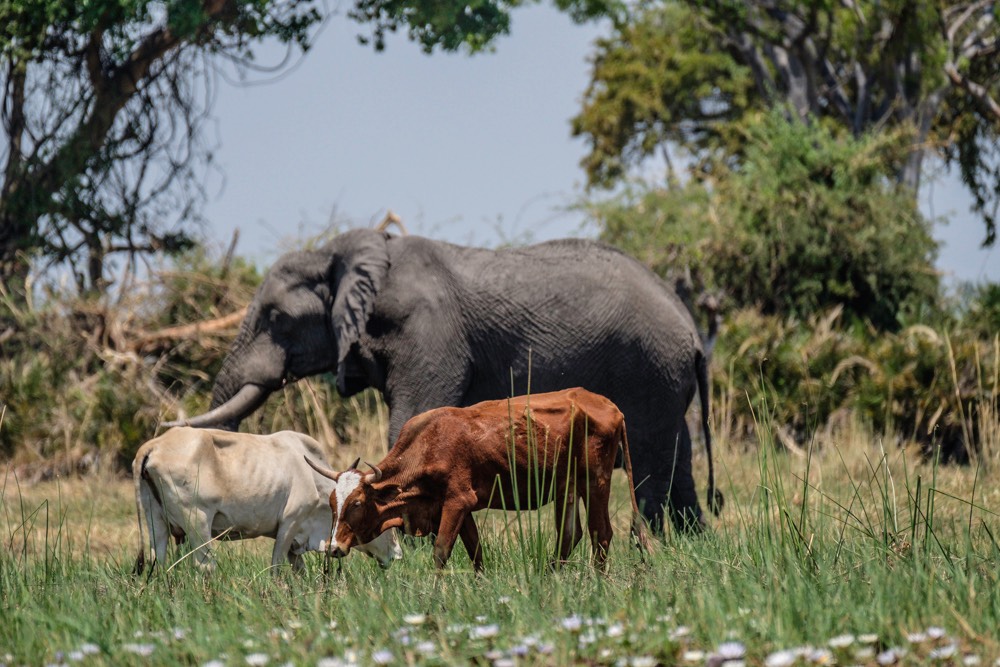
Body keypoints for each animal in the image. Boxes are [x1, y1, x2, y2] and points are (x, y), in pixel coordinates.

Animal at [133, 428, 402, 576]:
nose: (397, 554)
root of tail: (153, 446)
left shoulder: (296, 542)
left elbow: (299, 570)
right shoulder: (289, 524)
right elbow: (275, 567)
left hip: (155, 520)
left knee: (159, 560)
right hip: (197, 524)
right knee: (205, 566)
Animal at [166, 230, 728, 532]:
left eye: (276, 318)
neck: (344, 251)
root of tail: (691, 330)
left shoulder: (429, 334)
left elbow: (413, 422)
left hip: (648, 372)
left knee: (649, 465)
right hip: (664, 379)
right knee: (677, 457)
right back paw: (691, 542)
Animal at [308, 388, 652, 572]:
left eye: (357, 503)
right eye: (332, 503)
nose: (334, 547)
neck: (428, 443)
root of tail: (610, 406)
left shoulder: (458, 502)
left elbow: (441, 551)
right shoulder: (457, 508)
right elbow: (476, 553)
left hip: (596, 482)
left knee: (601, 533)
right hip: (566, 486)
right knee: (570, 535)